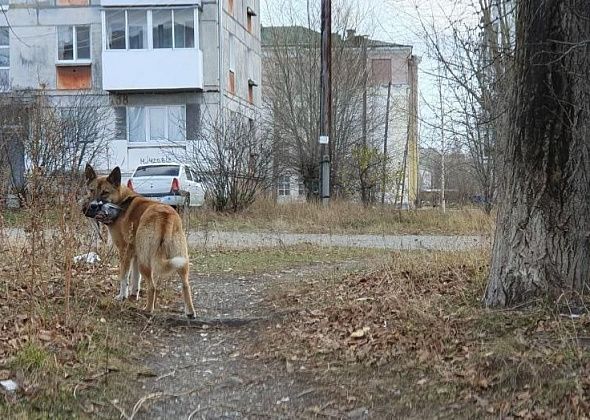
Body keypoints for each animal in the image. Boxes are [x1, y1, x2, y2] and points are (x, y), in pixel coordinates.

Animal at [82, 164, 197, 318]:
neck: (122, 202)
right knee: (185, 284)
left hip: (146, 260)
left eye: (105, 192)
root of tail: (165, 215)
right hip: (179, 259)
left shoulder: (125, 251)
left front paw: (122, 296)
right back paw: (190, 312)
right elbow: (136, 279)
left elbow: (124, 276)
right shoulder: (135, 254)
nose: (92, 206)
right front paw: (133, 295)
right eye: (92, 190)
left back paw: (148, 310)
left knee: (152, 286)